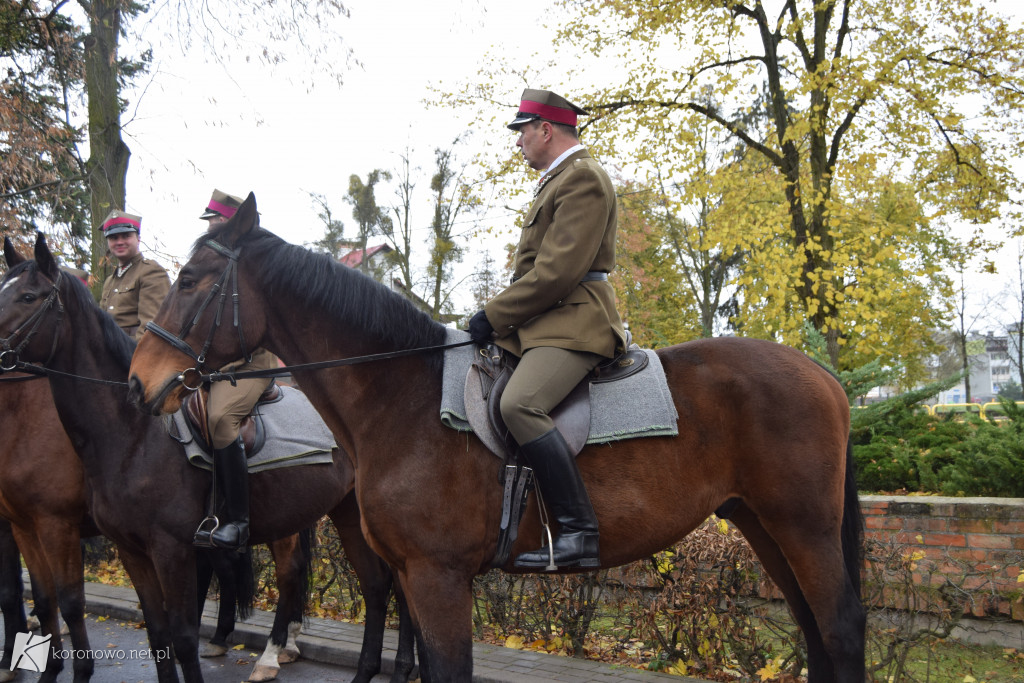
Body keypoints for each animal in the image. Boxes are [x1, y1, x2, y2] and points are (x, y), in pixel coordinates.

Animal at [1, 235, 415, 683]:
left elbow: (171, 633)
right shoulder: (114, 546)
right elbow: (154, 633)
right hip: (342, 511)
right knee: (375, 586)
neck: (133, 433)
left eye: (27, 296)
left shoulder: (136, 542)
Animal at [125, 193, 864, 683]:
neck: (402, 393)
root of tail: (823, 375)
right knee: (814, 631)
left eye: (188, 280)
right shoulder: (412, 574)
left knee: (840, 630)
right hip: (763, 524)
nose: (138, 381)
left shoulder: (439, 576)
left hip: (803, 526)